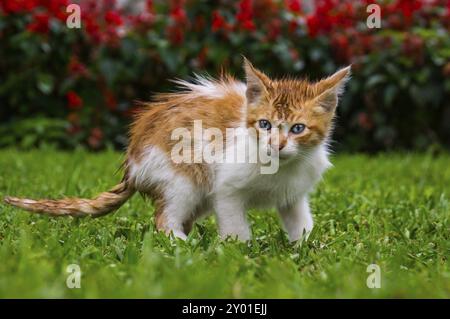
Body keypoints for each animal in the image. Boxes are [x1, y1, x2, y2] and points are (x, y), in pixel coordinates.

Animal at [3, 58, 350, 242]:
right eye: (264, 124)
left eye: (297, 129)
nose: (276, 145)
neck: (280, 167)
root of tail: (132, 162)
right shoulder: (227, 186)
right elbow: (235, 221)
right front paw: (239, 250)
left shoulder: (294, 193)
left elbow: (299, 220)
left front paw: (306, 245)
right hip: (181, 176)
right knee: (166, 217)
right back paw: (182, 244)